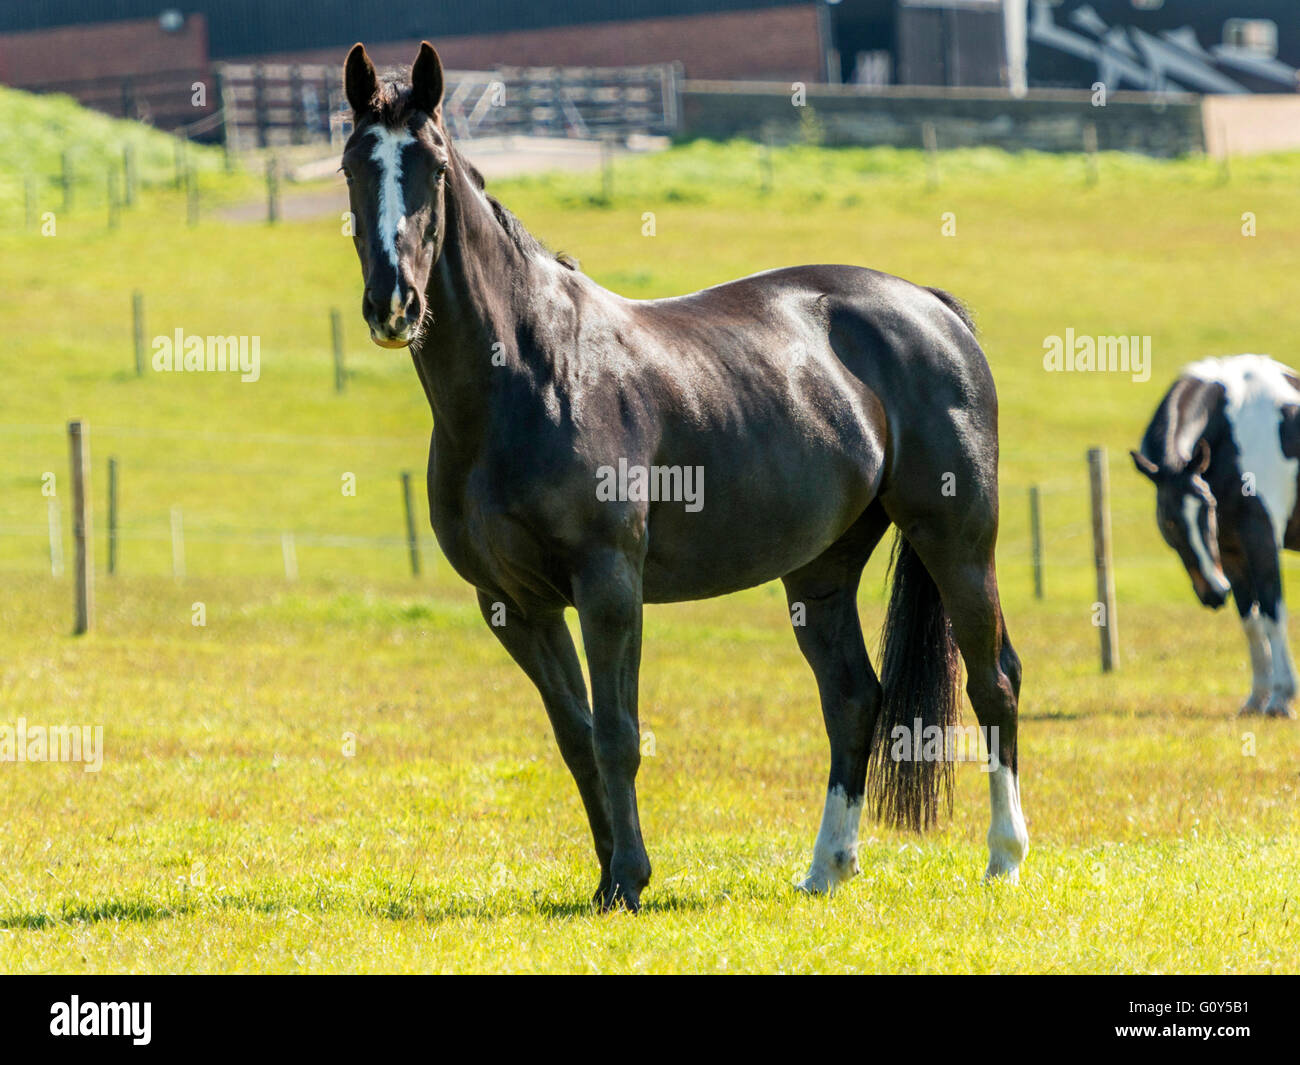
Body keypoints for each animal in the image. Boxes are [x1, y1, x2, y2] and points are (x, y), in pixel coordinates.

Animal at [340, 41, 1029, 910]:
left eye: (430, 164)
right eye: (352, 165)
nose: (393, 303)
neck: (530, 374)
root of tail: (934, 309)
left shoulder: (608, 585)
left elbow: (618, 733)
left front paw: (629, 880)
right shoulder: (514, 605)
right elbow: (575, 736)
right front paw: (607, 876)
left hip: (958, 539)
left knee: (993, 679)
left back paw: (1004, 856)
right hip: (820, 568)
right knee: (852, 697)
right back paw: (825, 868)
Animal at [1133, 353, 1300, 723]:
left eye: (1206, 506)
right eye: (1169, 521)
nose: (1213, 591)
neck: (1229, 427)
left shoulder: (1262, 540)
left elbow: (1273, 613)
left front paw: (1281, 699)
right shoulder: (1232, 552)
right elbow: (1252, 621)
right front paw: (1256, 699)